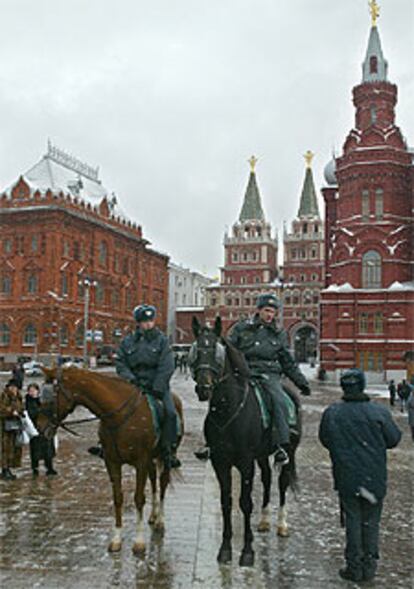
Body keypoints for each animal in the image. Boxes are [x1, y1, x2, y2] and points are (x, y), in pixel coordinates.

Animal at [38, 366, 184, 552]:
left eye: (50, 396)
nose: (39, 427)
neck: (119, 416)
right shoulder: (112, 462)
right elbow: (118, 498)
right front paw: (116, 539)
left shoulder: (141, 462)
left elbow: (138, 499)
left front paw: (139, 542)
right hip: (151, 459)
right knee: (153, 481)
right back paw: (153, 515)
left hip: (165, 458)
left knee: (163, 483)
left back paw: (160, 521)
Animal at [190, 316, 300, 564]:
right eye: (196, 350)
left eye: (216, 351)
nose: (204, 388)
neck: (227, 410)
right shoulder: (220, 462)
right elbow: (227, 502)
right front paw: (225, 549)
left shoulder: (245, 462)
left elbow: (245, 502)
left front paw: (247, 551)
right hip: (262, 455)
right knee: (267, 480)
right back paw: (265, 520)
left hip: (288, 453)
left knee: (282, 483)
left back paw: (282, 524)